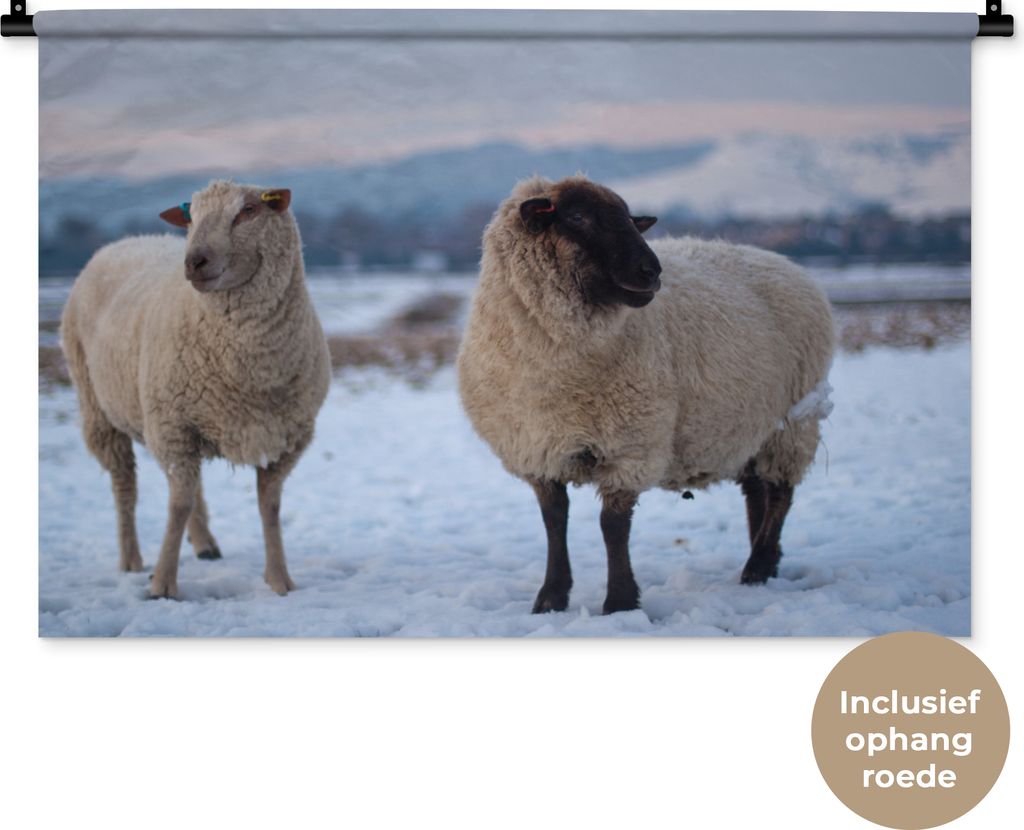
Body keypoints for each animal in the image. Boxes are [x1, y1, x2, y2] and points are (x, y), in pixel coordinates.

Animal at [60, 181, 331, 599]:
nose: (194, 262)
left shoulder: (285, 437)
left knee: (189, 485)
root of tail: (127, 240)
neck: (249, 370)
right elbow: (177, 507)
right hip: (99, 408)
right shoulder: (173, 427)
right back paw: (131, 559)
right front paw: (162, 585)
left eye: (248, 211)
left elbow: (268, 507)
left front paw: (279, 580)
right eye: (191, 217)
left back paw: (204, 544)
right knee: (127, 486)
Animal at [457, 176, 835, 615]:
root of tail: (785, 262)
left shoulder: (630, 445)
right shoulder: (538, 449)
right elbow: (554, 520)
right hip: (750, 424)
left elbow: (613, 526)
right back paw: (763, 564)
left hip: (794, 420)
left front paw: (620, 602)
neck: (557, 371)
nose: (651, 271)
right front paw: (551, 598)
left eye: (630, 219)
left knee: (780, 494)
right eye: (578, 216)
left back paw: (757, 566)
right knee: (757, 491)